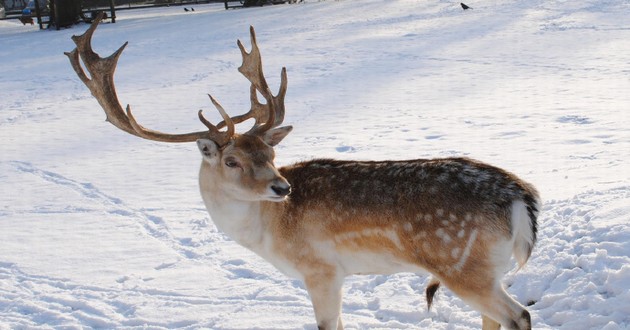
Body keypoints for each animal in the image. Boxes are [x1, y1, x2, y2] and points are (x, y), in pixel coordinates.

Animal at [65, 14, 544, 330]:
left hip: (461, 263)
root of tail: (520, 196)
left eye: (270, 153)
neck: (269, 233)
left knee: (518, 315)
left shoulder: (321, 269)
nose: (282, 187)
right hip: (484, 267)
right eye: (232, 160)